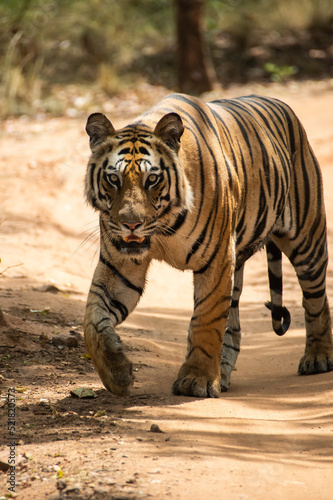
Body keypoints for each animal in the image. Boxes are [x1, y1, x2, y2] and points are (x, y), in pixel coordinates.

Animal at [83, 93, 332, 398]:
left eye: (151, 179)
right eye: (113, 179)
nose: (131, 224)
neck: (163, 228)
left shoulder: (218, 259)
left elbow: (207, 320)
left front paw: (197, 380)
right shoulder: (120, 265)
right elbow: (93, 319)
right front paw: (117, 373)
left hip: (307, 240)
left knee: (316, 299)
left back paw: (318, 357)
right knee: (233, 325)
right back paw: (222, 373)